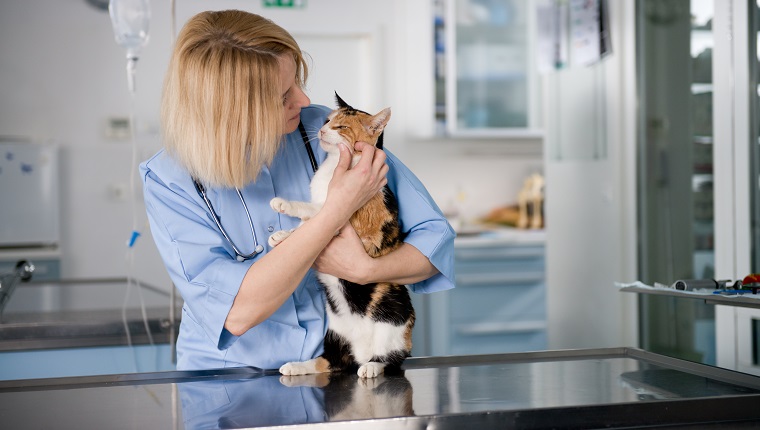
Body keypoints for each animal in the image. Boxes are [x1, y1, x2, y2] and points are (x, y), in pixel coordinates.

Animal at [264, 94, 412, 380]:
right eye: (327, 120)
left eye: (341, 127)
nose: (322, 131)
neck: (335, 168)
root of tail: (359, 352)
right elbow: (306, 226)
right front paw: (281, 235)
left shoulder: (344, 217)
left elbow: (314, 212)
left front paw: (285, 207)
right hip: (333, 335)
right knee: (328, 362)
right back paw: (295, 366)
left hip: (395, 318)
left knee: (392, 359)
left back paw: (371, 368)